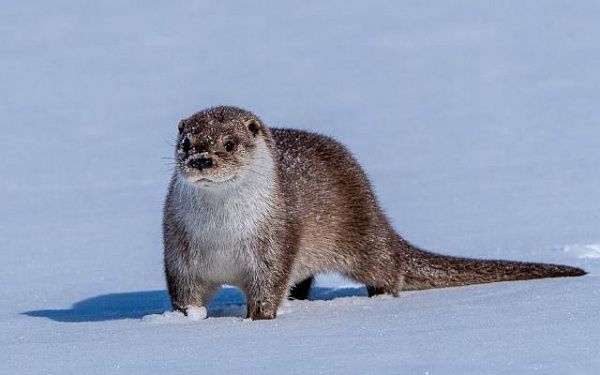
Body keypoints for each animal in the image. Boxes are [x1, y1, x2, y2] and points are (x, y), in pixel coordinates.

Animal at [164, 105, 584, 320]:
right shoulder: (179, 250)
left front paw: (258, 319)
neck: (223, 234)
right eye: (187, 142)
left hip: (362, 234)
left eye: (228, 143)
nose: (201, 159)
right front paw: (187, 321)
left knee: (388, 267)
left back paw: (379, 296)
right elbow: (184, 293)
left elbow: (268, 288)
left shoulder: (276, 240)